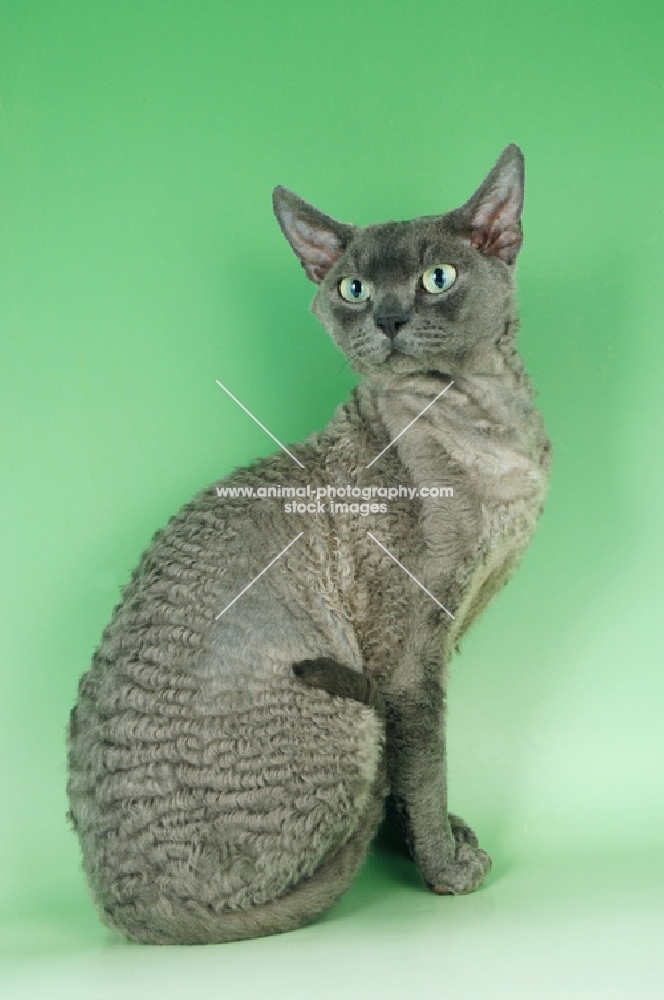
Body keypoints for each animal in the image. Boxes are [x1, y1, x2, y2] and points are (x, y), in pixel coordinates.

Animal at [66, 143, 548, 944]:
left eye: (437, 277)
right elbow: (423, 765)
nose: (388, 317)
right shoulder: (408, 659)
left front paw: (423, 846)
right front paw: (443, 869)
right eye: (353, 288)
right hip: (345, 711)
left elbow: (410, 781)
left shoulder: (442, 640)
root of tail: (130, 911)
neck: (490, 427)